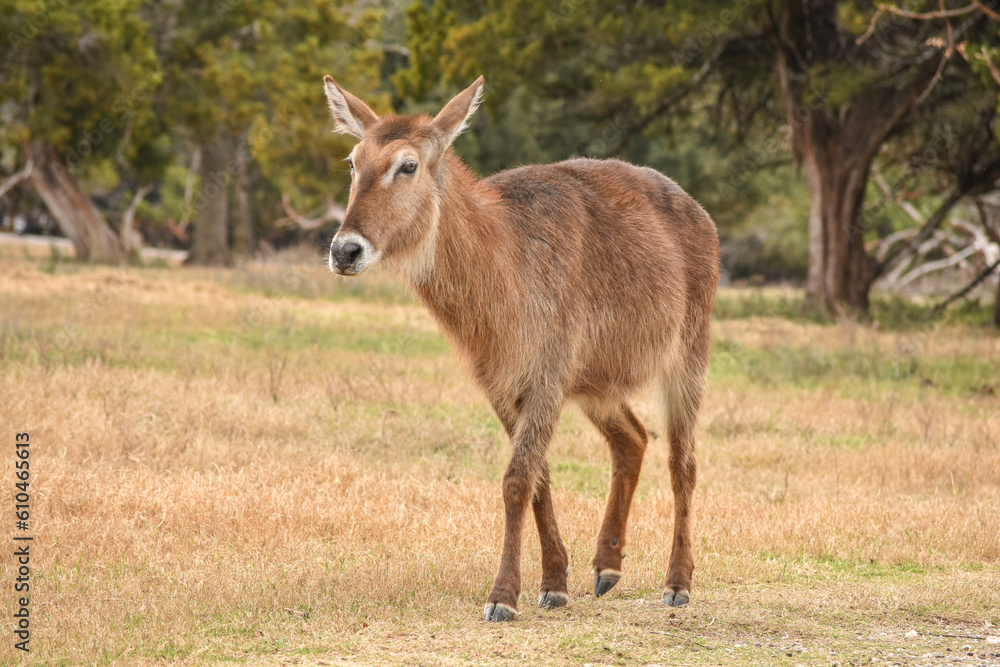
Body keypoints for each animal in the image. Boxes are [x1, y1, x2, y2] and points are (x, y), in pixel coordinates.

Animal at [324, 75, 716, 624]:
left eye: (408, 164)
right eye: (353, 161)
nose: (345, 250)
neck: (505, 265)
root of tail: (702, 214)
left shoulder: (547, 376)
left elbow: (516, 480)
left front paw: (503, 596)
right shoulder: (502, 384)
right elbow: (539, 479)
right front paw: (554, 582)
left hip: (687, 356)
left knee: (683, 463)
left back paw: (677, 582)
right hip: (596, 382)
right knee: (633, 439)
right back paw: (607, 567)